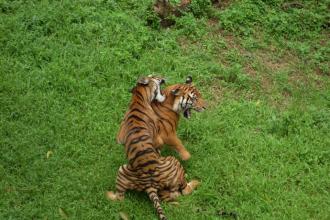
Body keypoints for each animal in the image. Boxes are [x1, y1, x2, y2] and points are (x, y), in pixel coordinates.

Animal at [109, 75, 200, 220]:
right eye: (154, 76)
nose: (163, 78)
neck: (137, 98)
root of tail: (149, 185)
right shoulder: (160, 137)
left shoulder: (120, 136)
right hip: (173, 162)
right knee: (184, 190)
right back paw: (195, 180)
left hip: (122, 170)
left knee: (119, 197)